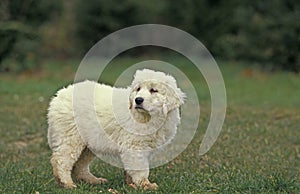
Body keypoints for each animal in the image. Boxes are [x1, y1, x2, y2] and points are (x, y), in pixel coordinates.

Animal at [47, 68, 185, 189]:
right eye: (138, 89)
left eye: (154, 90)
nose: (138, 100)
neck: (148, 117)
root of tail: (59, 96)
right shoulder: (135, 147)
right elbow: (141, 169)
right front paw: (145, 185)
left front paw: (131, 184)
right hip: (70, 136)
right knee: (60, 160)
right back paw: (67, 183)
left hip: (88, 143)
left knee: (80, 165)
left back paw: (93, 180)